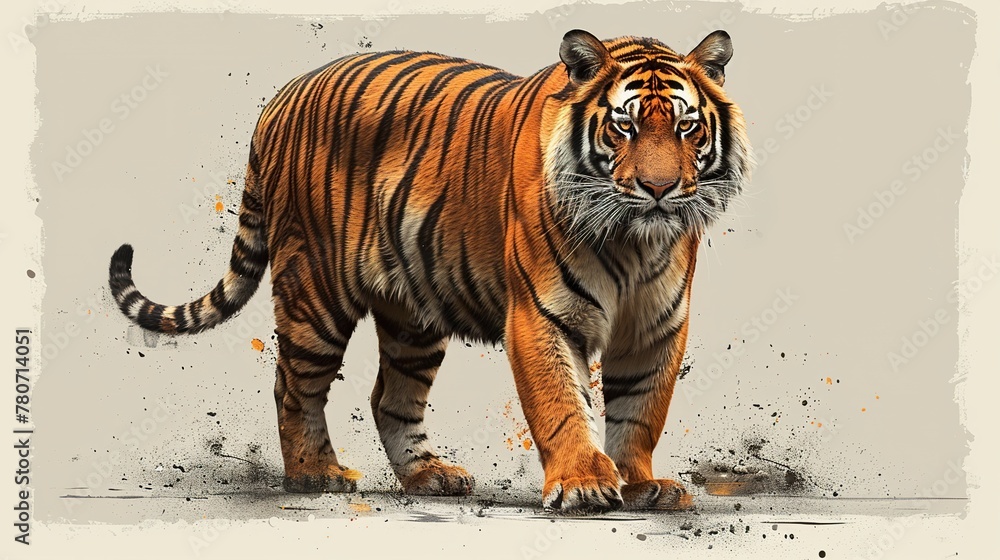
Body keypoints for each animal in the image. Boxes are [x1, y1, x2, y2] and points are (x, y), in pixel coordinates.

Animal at [108, 29, 752, 513]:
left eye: (687, 126)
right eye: (623, 126)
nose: (660, 189)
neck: (636, 243)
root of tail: (284, 95)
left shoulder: (657, 326)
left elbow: (641, 410)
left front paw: (640, 483)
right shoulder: (541, 315)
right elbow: (563, 404)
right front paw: (585, 484)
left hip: (413, 316)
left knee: (389, 398)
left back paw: (429, 477)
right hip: (314, 291)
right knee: (294, 386)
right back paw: (315, 473)